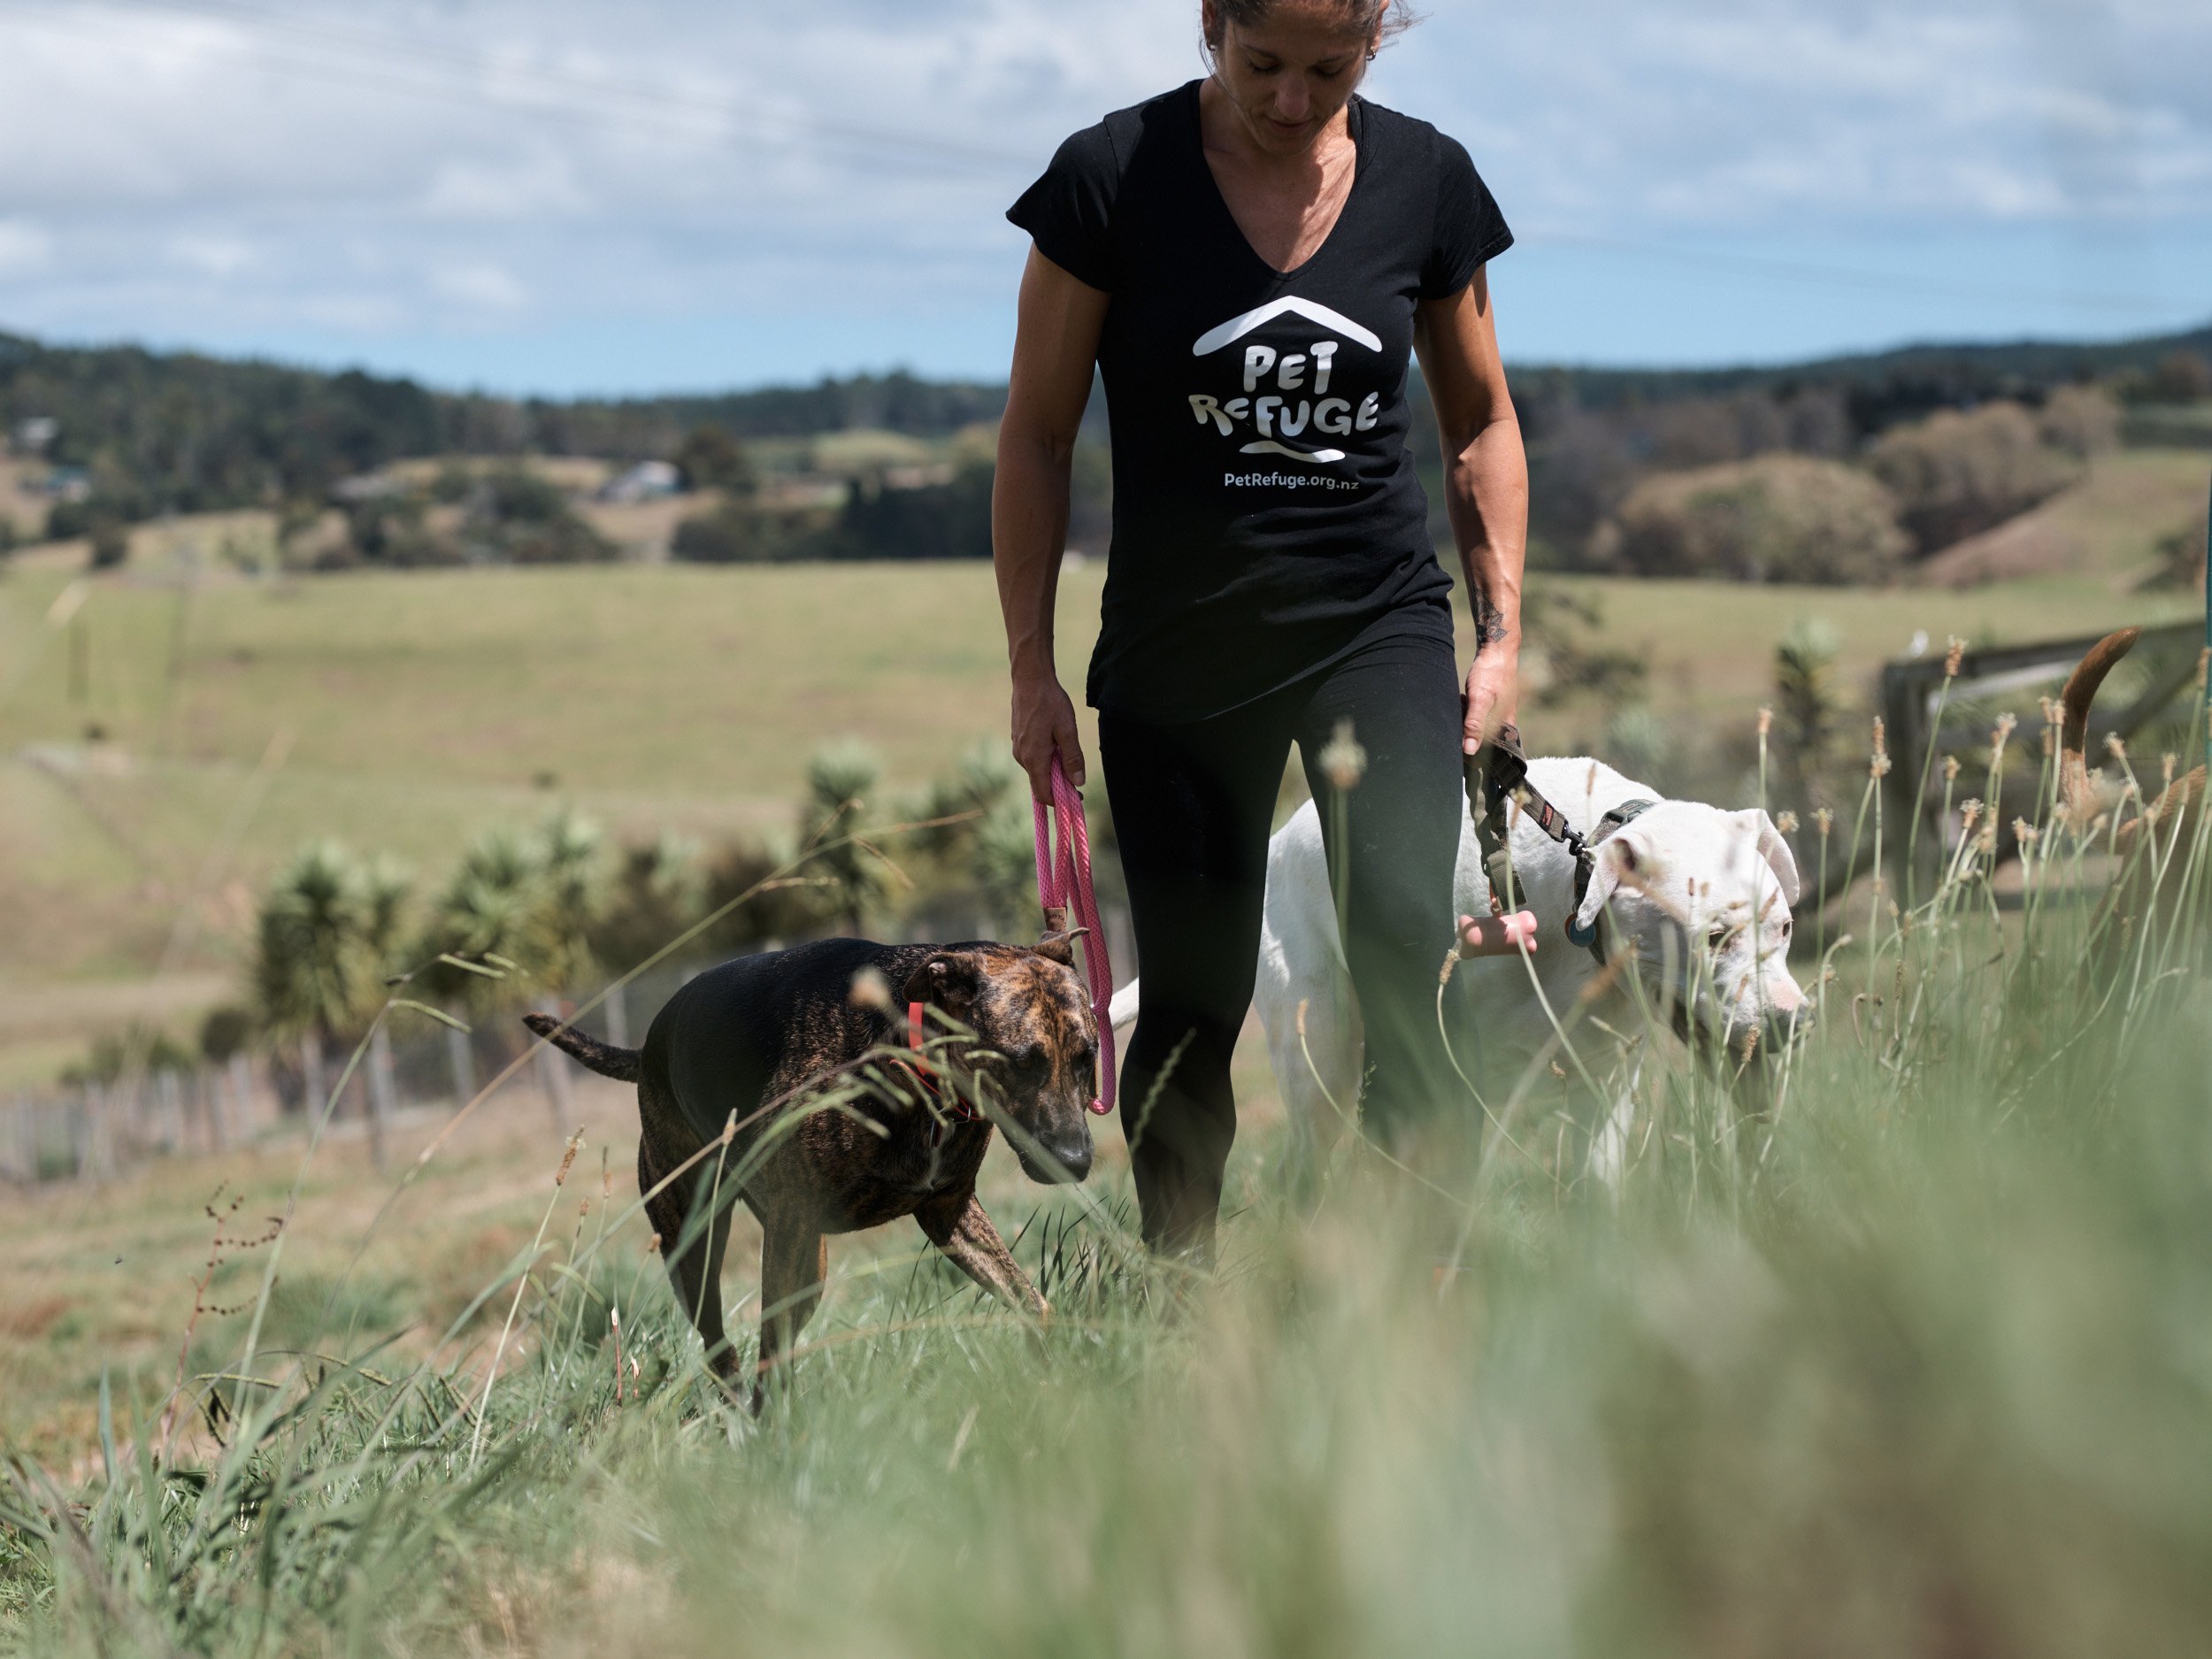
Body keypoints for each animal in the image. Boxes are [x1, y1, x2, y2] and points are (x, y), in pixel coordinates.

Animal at [526, 942, 1097, 1407]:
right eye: (1020, 1061)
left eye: (1088, 1058)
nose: (1075, 1162)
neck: (910, 1059)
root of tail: (647, 1050)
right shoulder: (790, 1226)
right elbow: (771, 1347)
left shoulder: (949, 1213)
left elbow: (1034, 1305)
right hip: (696, 1242)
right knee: (720, 1346)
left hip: (807, 1264)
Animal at [1106, 761, 1814, 1177]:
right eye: (1716, 937)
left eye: (1783, 928)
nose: (1793, 1020)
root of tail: (1282, 840)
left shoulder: (1606, 1082)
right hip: (1320, 1057)